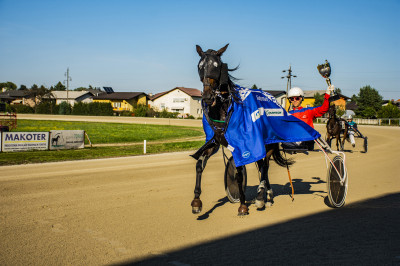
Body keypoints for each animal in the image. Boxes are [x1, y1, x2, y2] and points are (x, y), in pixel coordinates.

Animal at [191, 44, 294, 216]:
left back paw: (261, 197)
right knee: (262, 166)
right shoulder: (214, 142)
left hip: (269, 144)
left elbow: (239, 173)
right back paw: (267, 195)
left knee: (265, 166)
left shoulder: (242, 144)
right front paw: (197, 201)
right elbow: (199, 165)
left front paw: (243, 205)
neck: (224, 107)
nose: (207, 97)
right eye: (200, 66)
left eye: (216, 66)